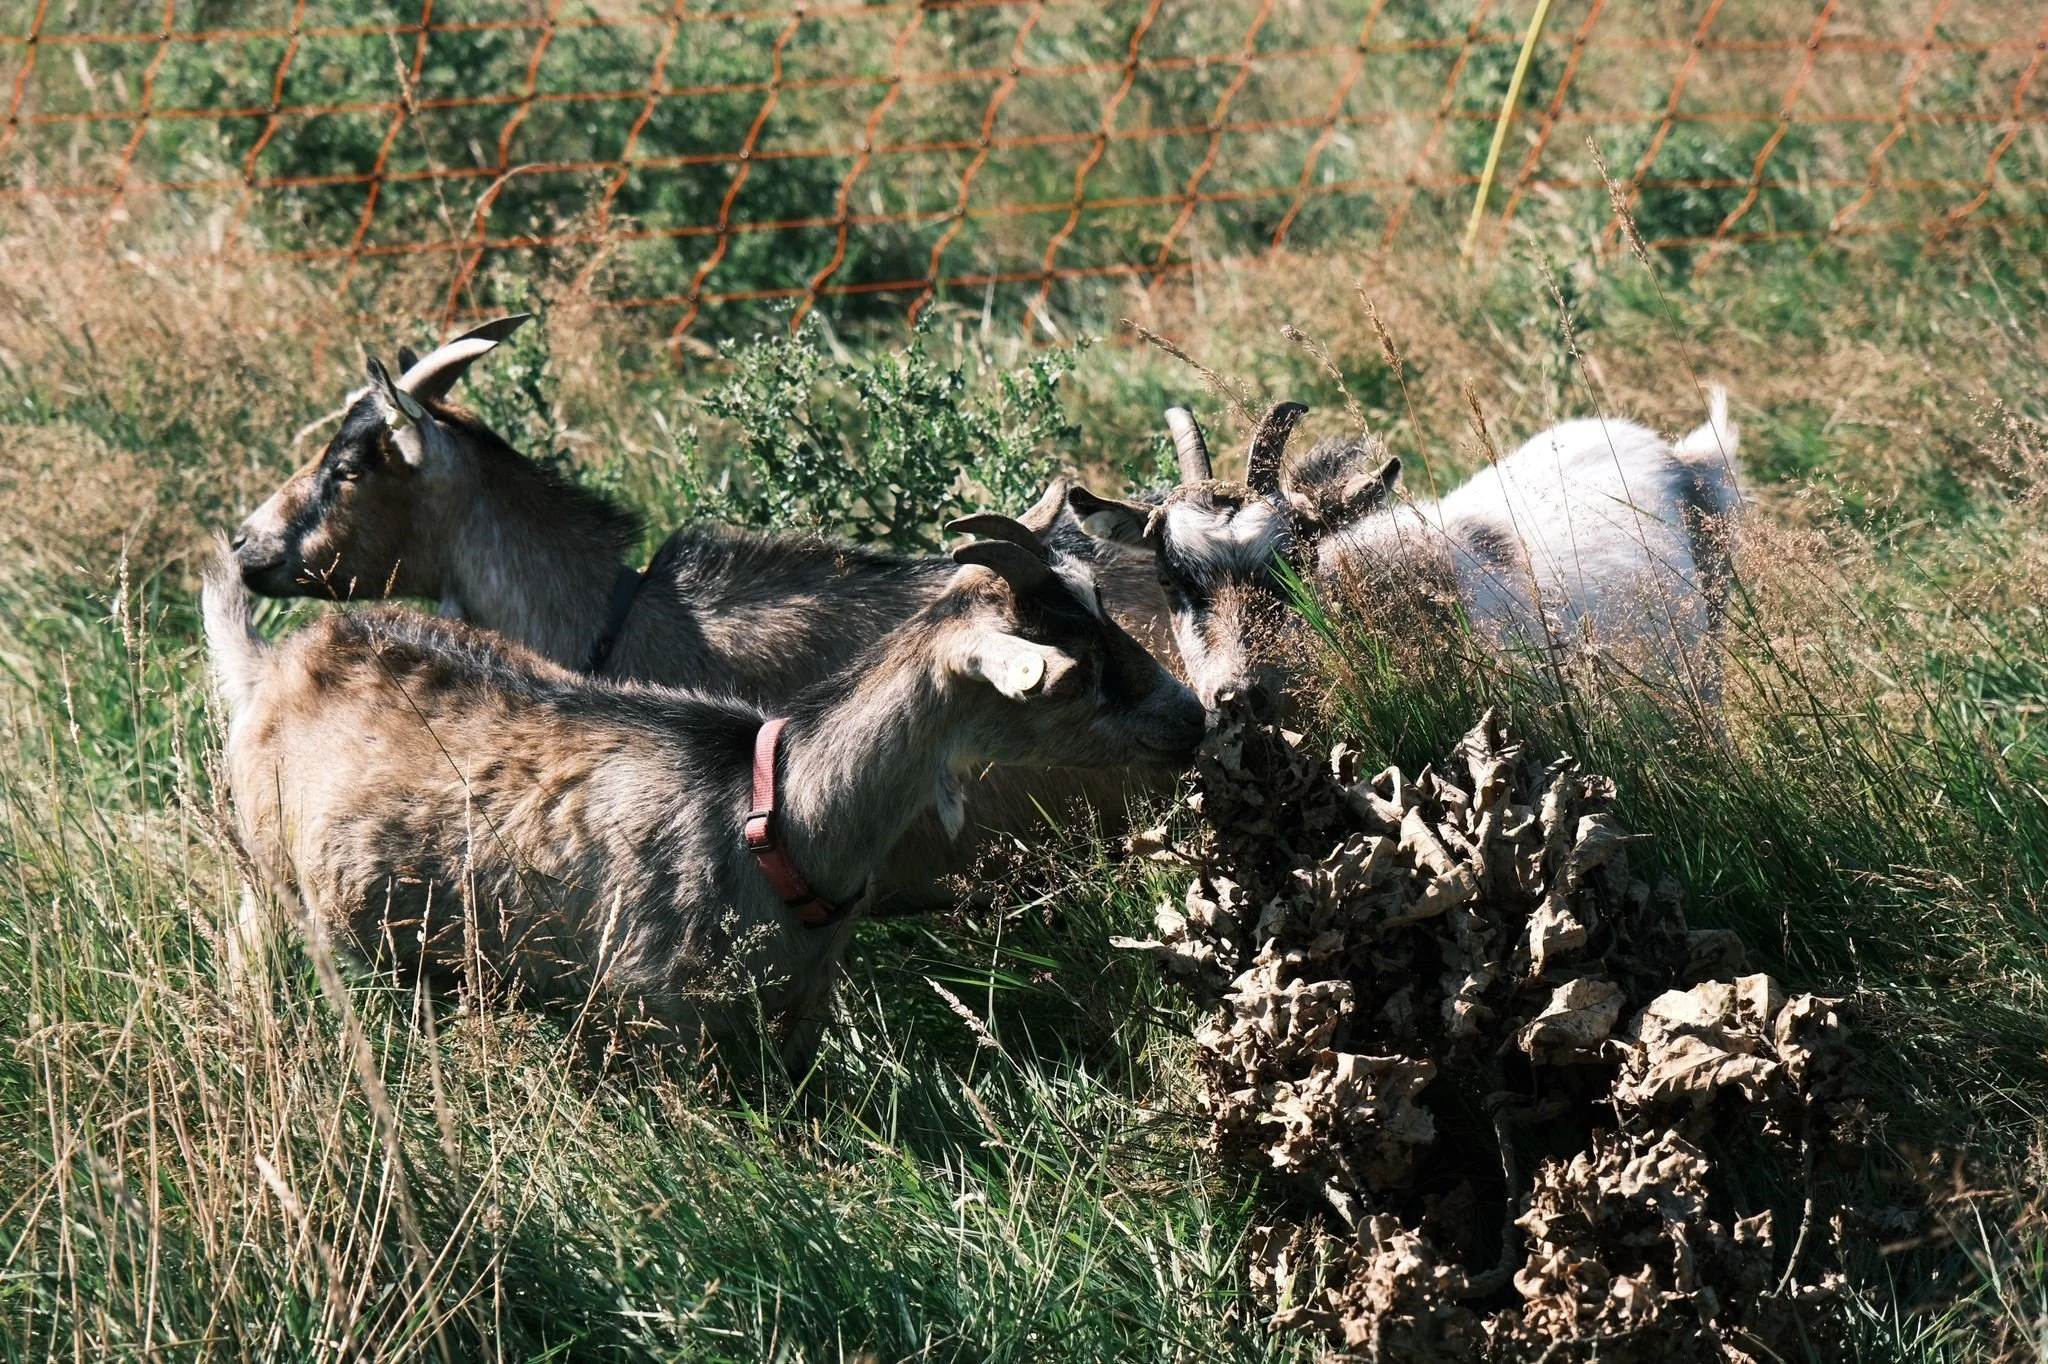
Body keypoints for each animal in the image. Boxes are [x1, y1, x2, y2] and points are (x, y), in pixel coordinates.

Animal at [204, 517, 1205, 1066]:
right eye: (1072, 673)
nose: (1191, 714)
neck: (776, 817)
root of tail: (273, 666)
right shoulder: (656, 1015)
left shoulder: (797, 1017)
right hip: (276, 885)